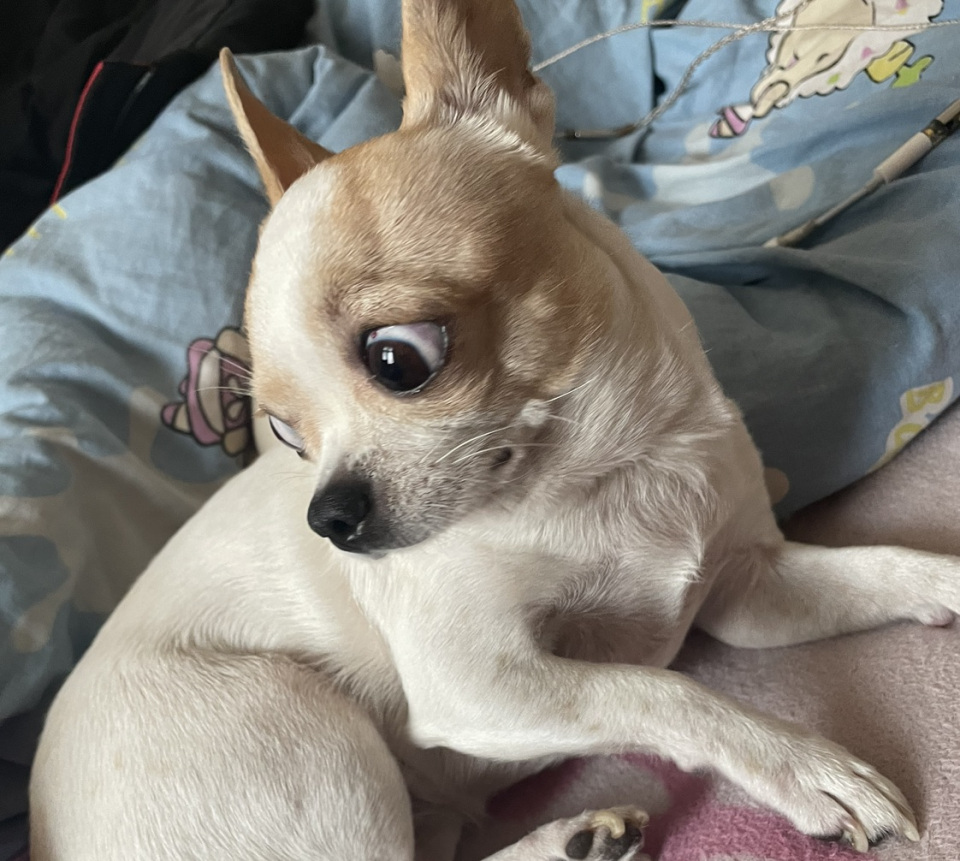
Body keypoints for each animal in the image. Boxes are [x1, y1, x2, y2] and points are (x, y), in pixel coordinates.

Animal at [29, 0, 960, 858]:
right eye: (287, 438)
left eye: (398, 360)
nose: (328, 516)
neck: (614, 468)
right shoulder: (480, 684)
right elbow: (661, 692)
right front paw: (806, 764)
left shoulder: (752, 589)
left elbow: (881, 566)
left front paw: (943, 580)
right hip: (306, 730)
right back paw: (562, 840)